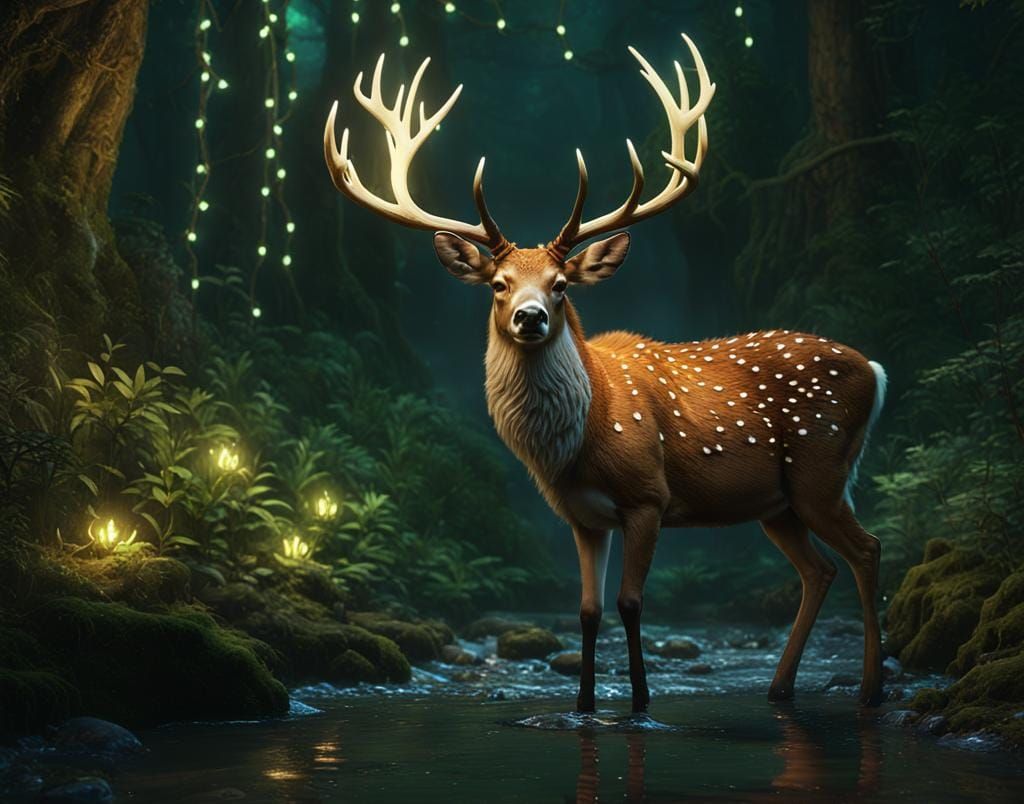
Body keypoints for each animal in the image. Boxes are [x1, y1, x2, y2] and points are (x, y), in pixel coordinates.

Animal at [323, 33, 889, 712]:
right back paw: (780, 690)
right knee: (819, 568)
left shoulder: (649, 495)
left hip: (820, 467)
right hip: (777, 502)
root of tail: (875, 370)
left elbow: (631, 602)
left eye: (561, 284)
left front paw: (641, 702)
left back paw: (870, 690)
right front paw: (585, 706)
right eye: (498, 284)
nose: (531, 317)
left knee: (867, 549)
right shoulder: (582, 516)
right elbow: (588, 612)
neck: (579, 444)